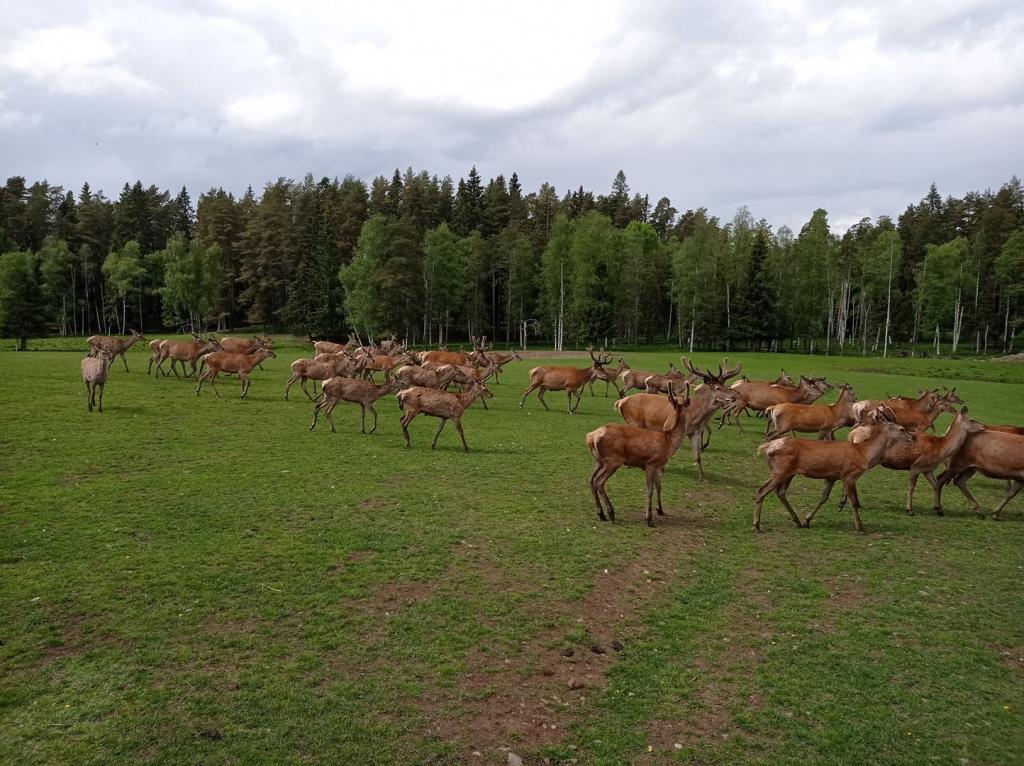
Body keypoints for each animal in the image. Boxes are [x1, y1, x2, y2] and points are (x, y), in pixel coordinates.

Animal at [589, 389, 692, 528]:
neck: (669, 442)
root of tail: (591, 437)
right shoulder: (651, 463)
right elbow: (649, 490)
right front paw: (649, 520)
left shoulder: (658, 467)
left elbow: (659, 486)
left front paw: (660, 509)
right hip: (613, 460)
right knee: (598, 482)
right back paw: (610, 513)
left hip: (599, 461)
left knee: (591, 480)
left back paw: (601, 514)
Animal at [753, 407, 913, 532]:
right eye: (902, 428)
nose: (913, 438)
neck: (863, 454)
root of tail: (768, 447)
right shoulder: (849, 475)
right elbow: (854, 502)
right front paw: (860, 527)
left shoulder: (831, 477)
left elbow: (823, 498)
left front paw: (807, 520)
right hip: (781, 470)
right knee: (762, 490)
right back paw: (757, 526)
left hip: (789, 473)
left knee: (780, 492)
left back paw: (797, 522)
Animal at [847, 407, 983, 514]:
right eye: (972, 419)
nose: (983, 427)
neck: (939, 448)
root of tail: (852, 435)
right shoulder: (916, 466)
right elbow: (912, 487)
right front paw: (910, 510)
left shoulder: (927, 469)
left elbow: (936, 485)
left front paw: (939, 508)